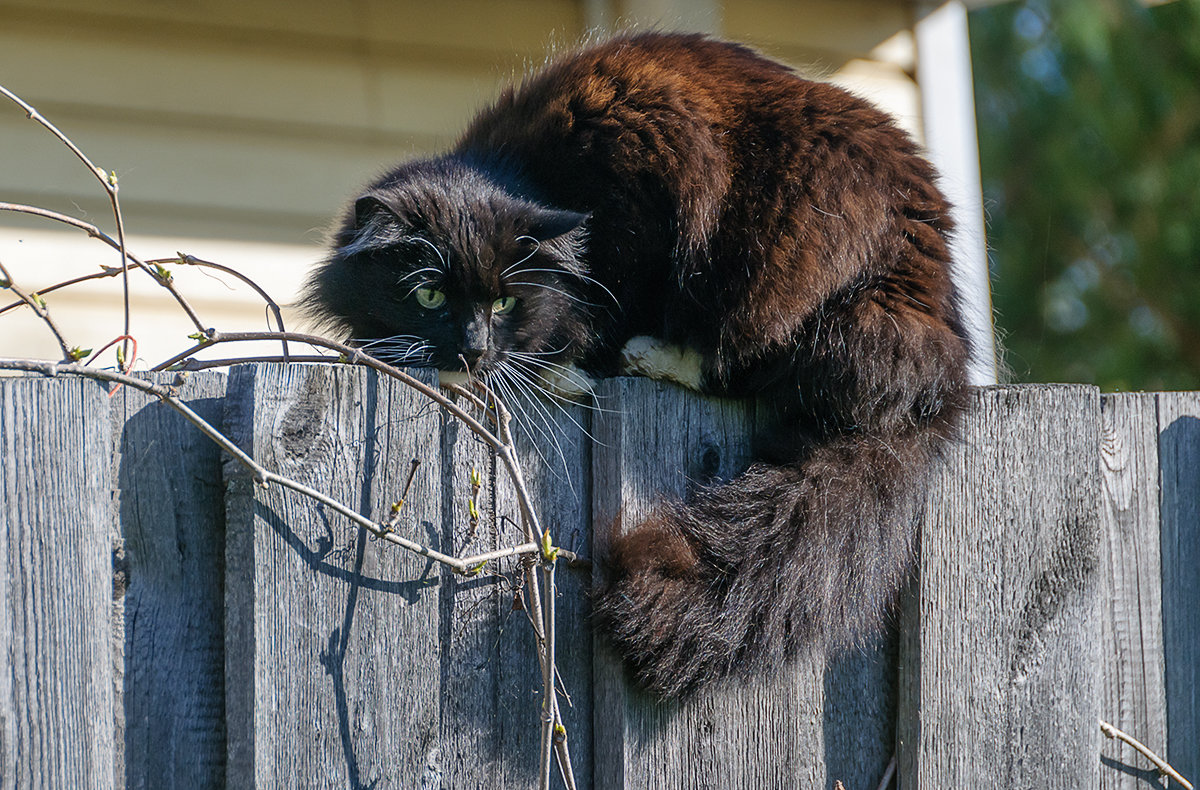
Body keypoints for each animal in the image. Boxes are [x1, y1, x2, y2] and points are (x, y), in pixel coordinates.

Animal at [304, 30, 969, 696]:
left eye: (504, 303)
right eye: (429, 296)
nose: (472, 347)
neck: (531, 175)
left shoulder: (637, 207)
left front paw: (564, 367)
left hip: (784, 269)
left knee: (744, 362)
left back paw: (642, 356)